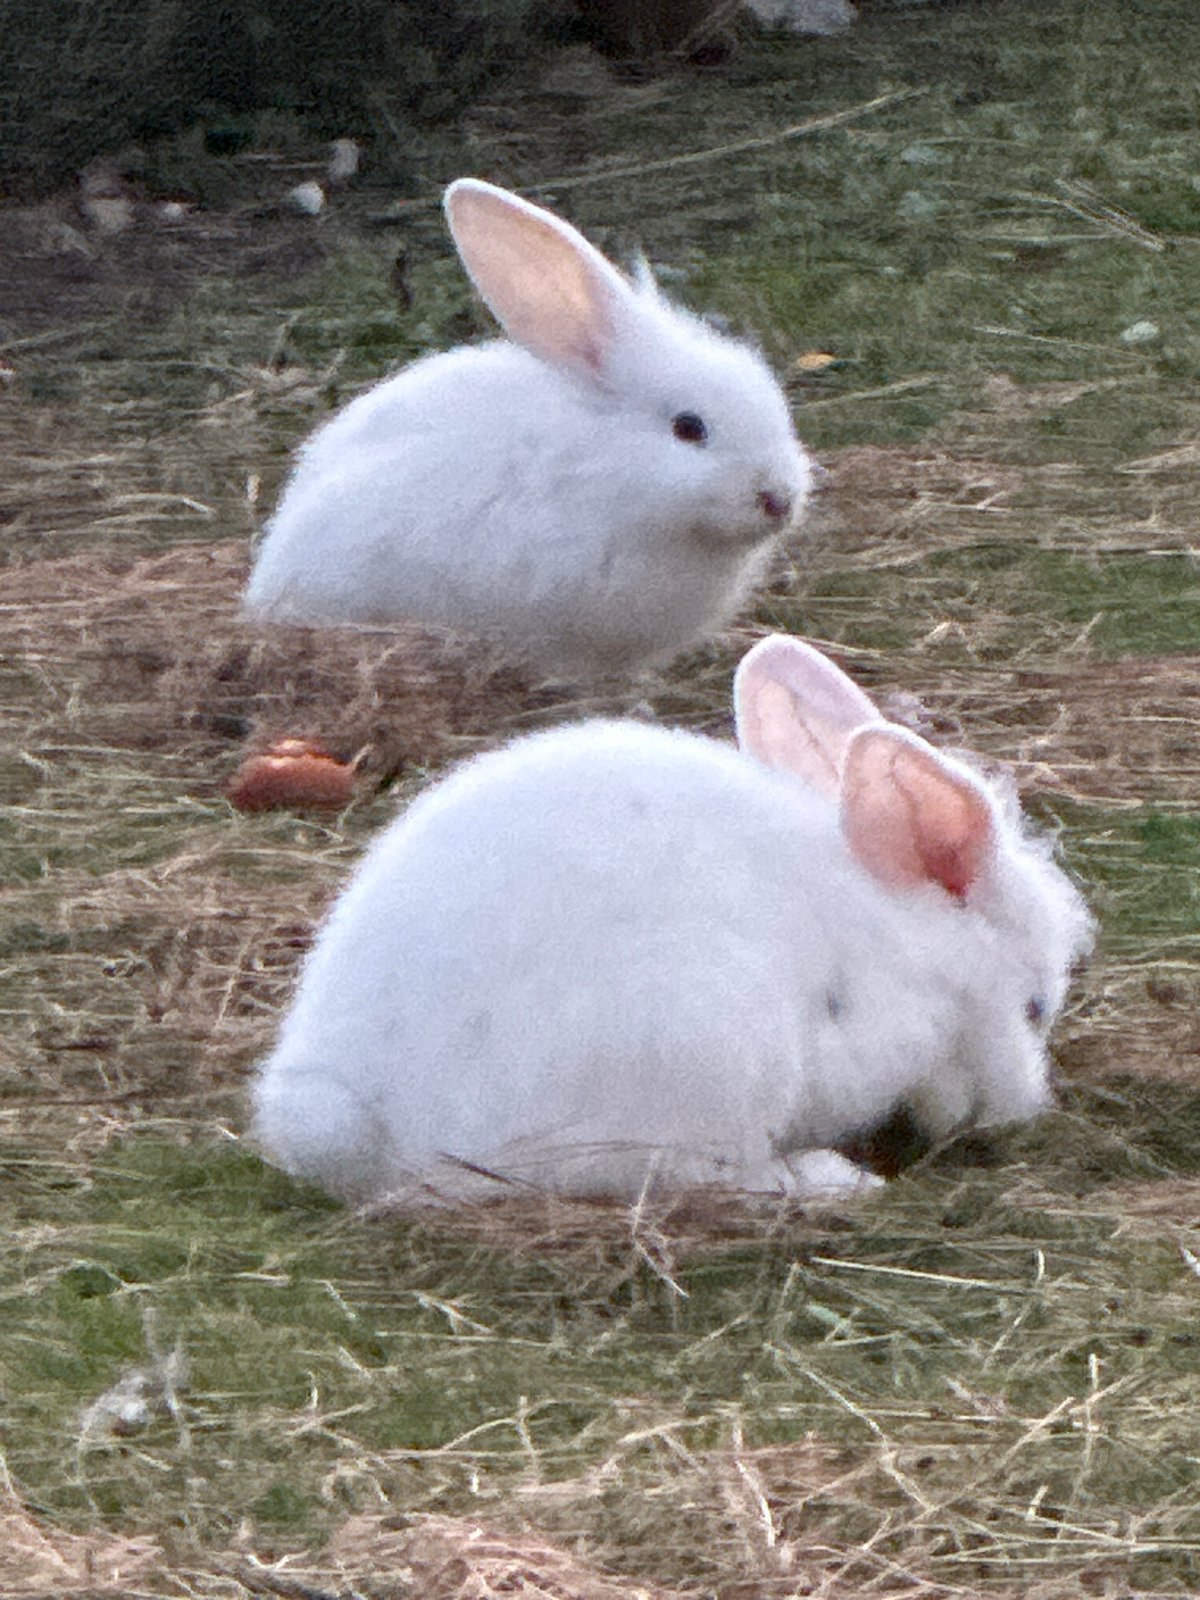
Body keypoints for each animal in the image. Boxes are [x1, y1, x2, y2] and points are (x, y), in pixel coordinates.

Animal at [249, 635, 1093, 1201]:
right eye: (1034, 1005)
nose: (1020, 1111)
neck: (903, 943)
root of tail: (349, 1115)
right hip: (703, 1050)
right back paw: (830, 1179)